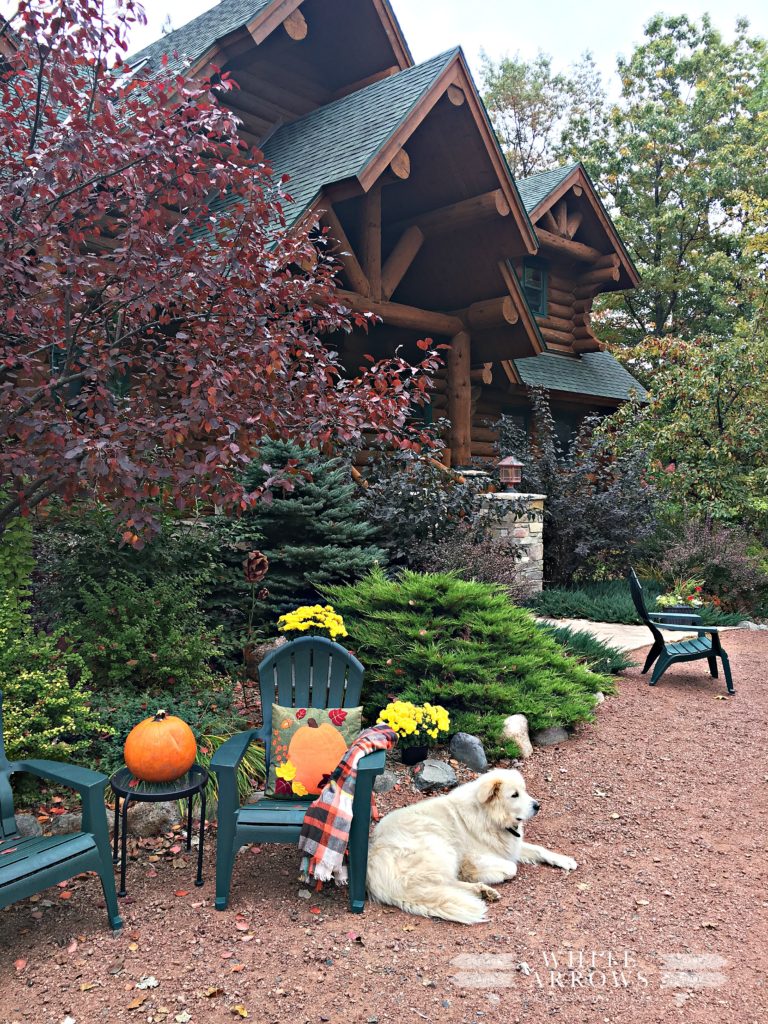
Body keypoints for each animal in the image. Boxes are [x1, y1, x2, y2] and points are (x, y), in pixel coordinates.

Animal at [366, 770, 577, 929]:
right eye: (514, 795)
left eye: (524, 791)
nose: (538, 806)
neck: (489, 815)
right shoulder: (474, 858)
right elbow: (511, 868)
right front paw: (492, 874)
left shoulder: (510, 846)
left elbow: (539, 849)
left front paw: (564, 860)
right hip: (440, 845)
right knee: (445, 883)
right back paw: (480, 890)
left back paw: (482, 891)